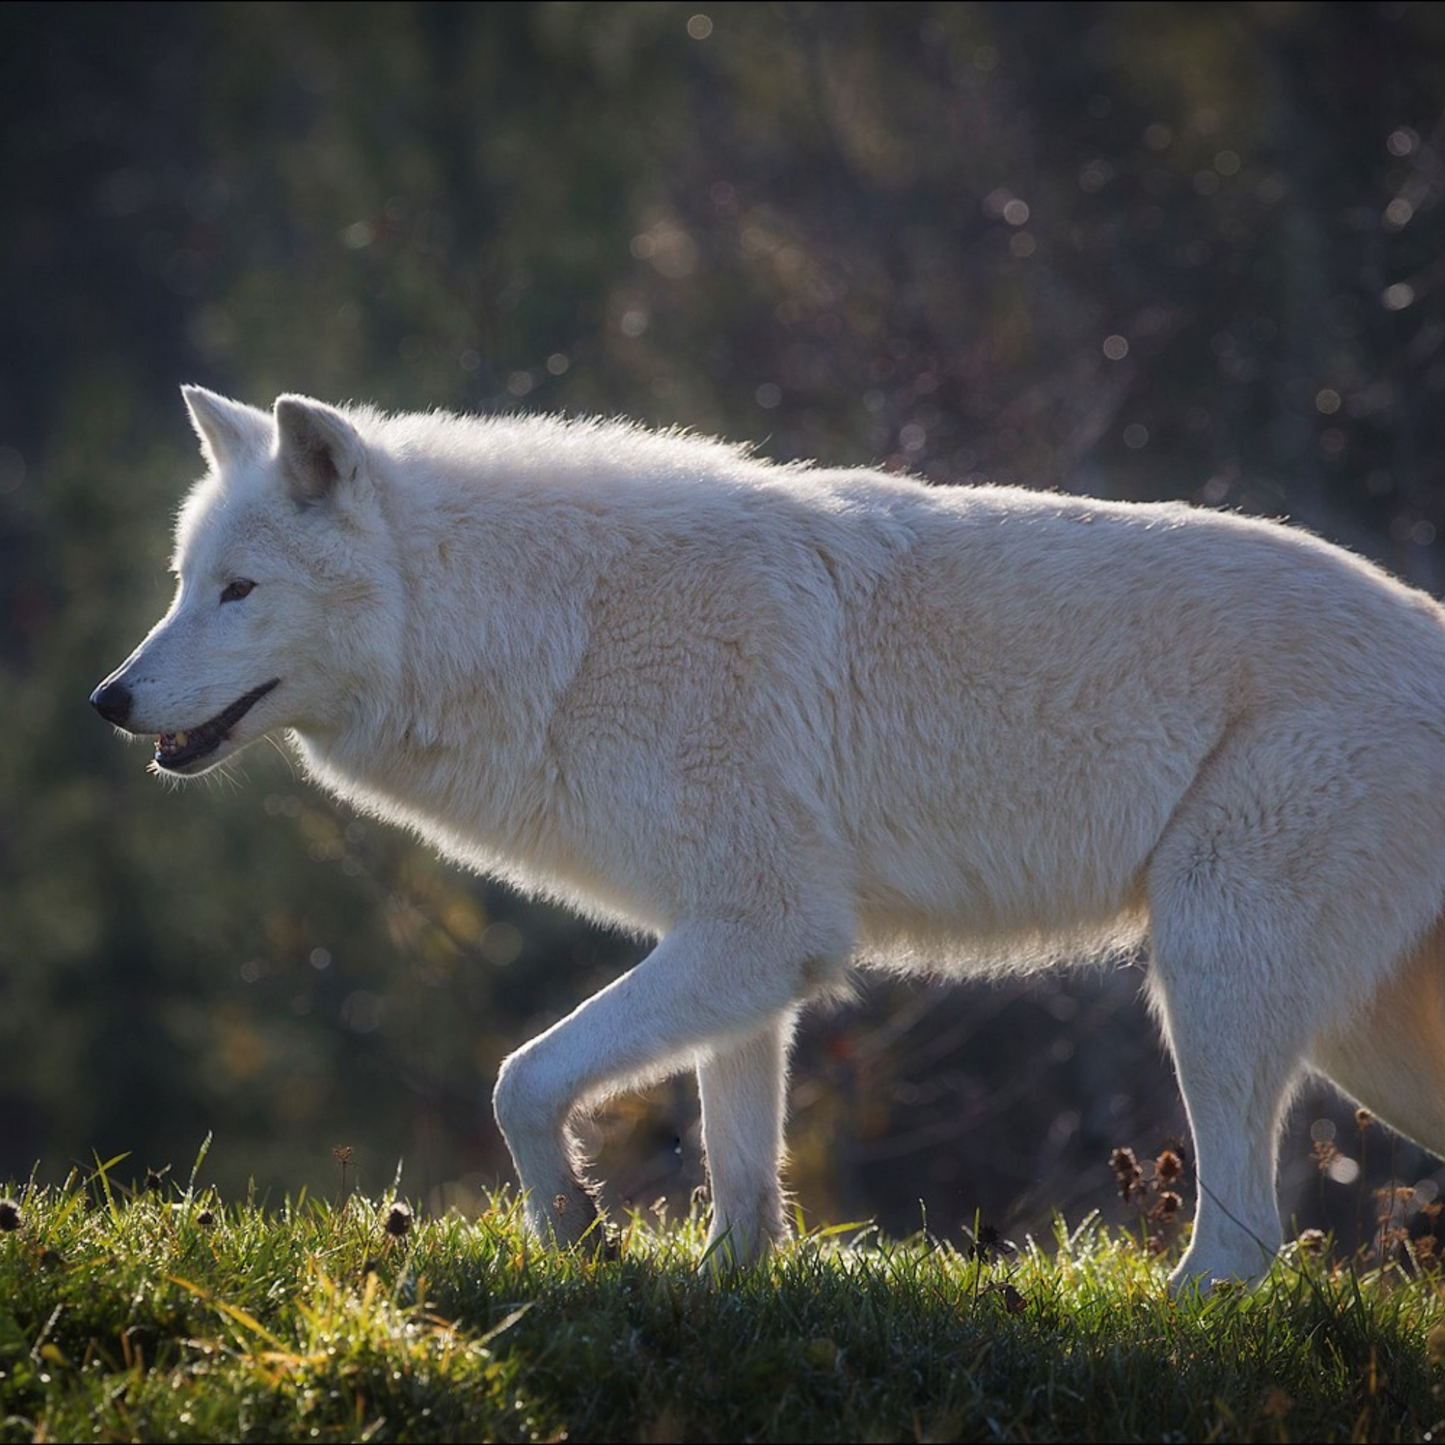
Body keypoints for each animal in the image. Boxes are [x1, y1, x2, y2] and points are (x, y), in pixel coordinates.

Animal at [93, 387, 1445, 1288]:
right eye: (179, 580)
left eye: (240, 591)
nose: (109, 698)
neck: (558, 625)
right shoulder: (741, 954)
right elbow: (738, 1167)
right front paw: (720, 1284)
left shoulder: (761, 928)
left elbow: (519, 1078)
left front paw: (575, 1232)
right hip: (1351, 1042)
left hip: (1211, 978)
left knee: (1244, 1240)